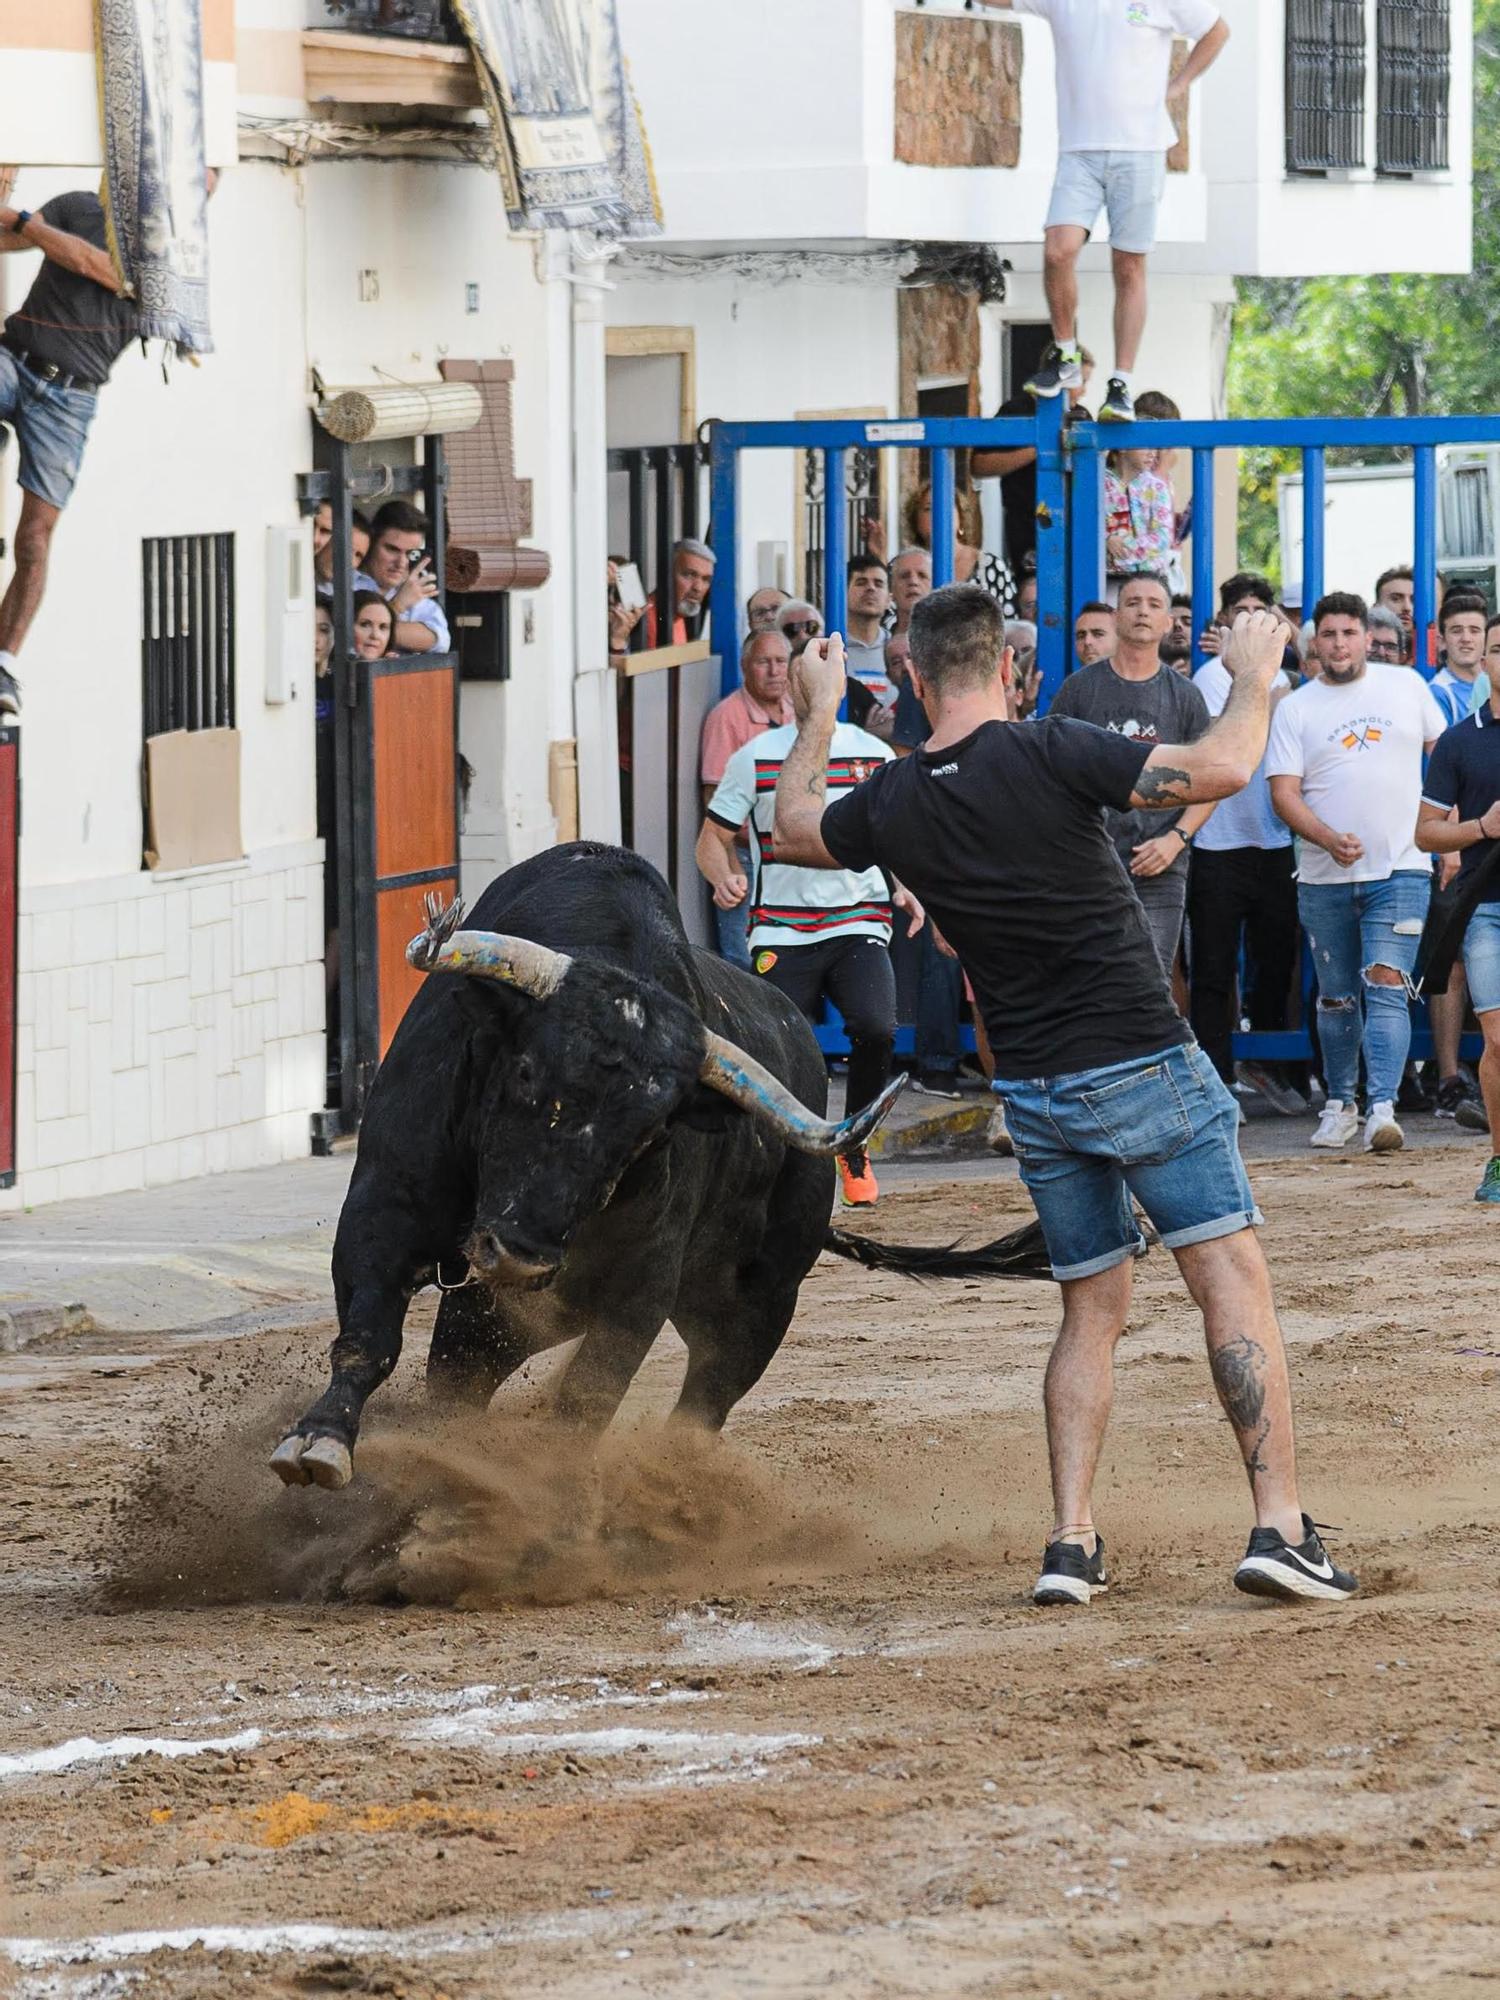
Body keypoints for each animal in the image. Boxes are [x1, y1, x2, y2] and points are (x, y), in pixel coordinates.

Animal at [270, 840, 1048, 1488]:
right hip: (498, 1312)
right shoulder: (385, 1210)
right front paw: (318, 1444)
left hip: (762, 1299)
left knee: (705, 1401)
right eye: (524, 1070)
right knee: (460, 1378)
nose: (519, 1254)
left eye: (648, 1132)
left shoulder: (637, 1288)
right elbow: (369, 1338)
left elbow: (587, 1400)